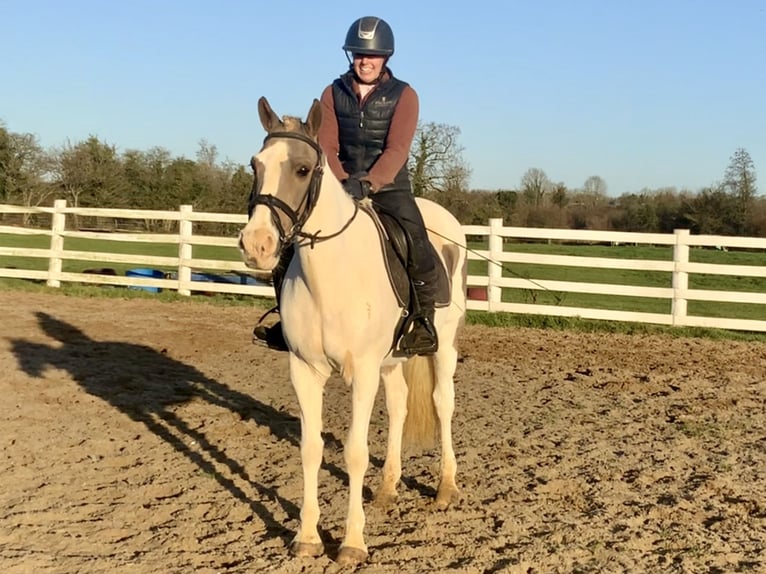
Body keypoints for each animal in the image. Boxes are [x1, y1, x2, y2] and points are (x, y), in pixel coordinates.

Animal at [240, 98, 468, 568]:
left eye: (303, 169)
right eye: (255, 164)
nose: (257, 246)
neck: (331, 275)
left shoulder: (361, 373)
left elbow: (355, 452)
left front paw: (352, 543)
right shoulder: (305, 370)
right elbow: (311, 448)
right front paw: (307, 538)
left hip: (444, 348)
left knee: (443, 404)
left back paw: (445, 488)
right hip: (392, 361)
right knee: (399, 406)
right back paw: (387, 488)